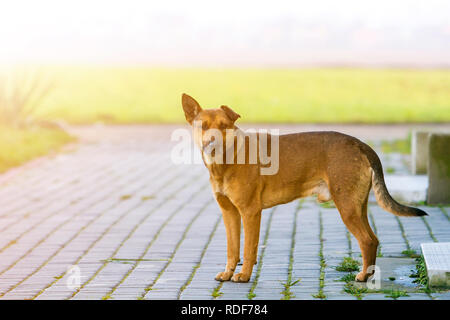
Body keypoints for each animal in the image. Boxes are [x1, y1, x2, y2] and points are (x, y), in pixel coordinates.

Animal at [181, 93, 428, 282]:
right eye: (203, 126)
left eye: (224, 127)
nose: (211, 143)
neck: (228, 160)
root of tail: (361, 144)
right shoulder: (229, 213)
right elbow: (232, 249)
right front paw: (228, 273)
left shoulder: (250, 212)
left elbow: (249, 248)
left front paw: (244, 275)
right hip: (358, 205)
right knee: (373, 240)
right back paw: (368, 274)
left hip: (347, 206)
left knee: (366, 241)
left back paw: (362, 276)